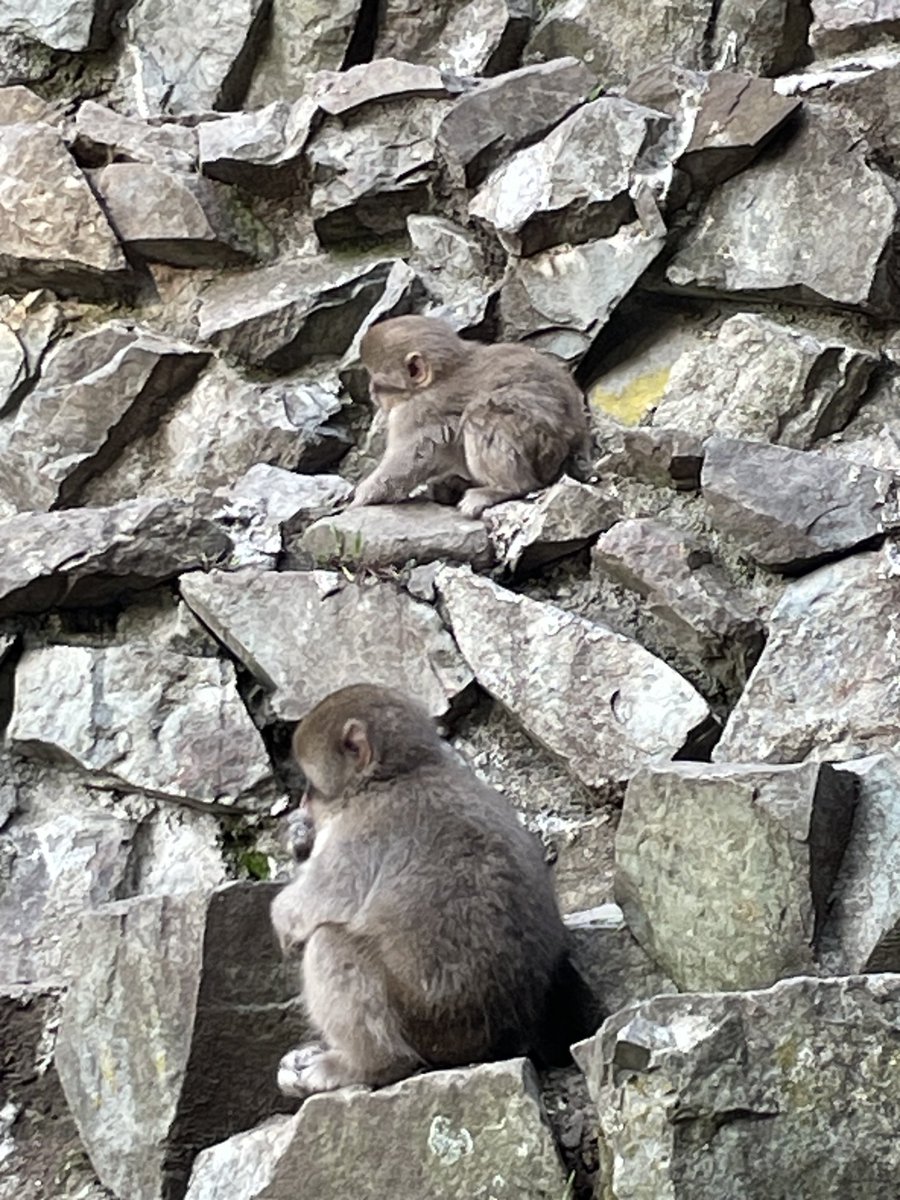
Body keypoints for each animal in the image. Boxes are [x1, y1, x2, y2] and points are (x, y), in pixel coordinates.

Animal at [269, 683, 583, 1099]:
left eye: (312, 783)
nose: (304, 801)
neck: (402, 774)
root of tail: (498, 1040)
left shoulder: (362, 832)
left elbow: (322, 901)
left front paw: (283, 920)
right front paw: (299, 838)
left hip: (424, 1023)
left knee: (332, 945)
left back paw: (363, 1064)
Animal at [349, 315, 593, 520]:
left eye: (378, 382)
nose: (371, 392)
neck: (436, 380)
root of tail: (575, 440)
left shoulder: (416, 412)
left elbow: (412, 455)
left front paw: (366, 493)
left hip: (541, 444)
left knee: (482, 414)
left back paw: (501, 489)